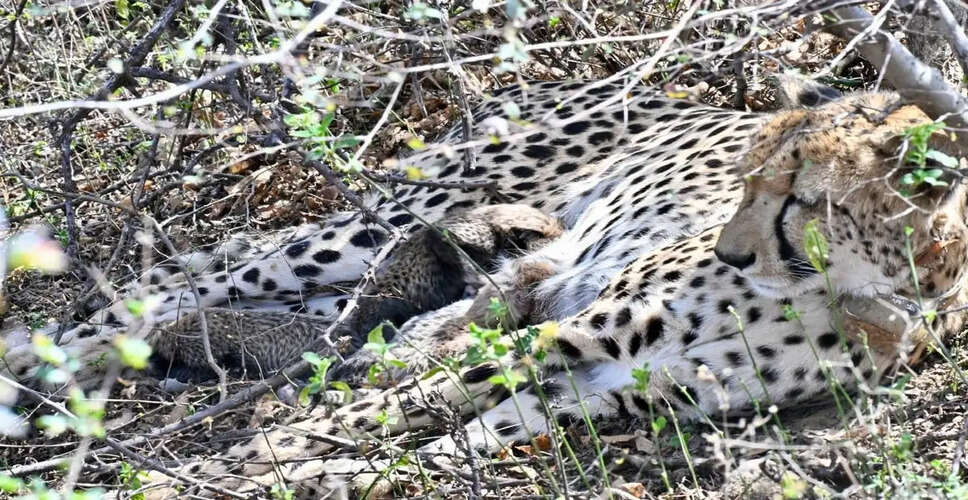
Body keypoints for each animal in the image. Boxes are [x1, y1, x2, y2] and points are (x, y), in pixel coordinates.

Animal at [8, 77, 968, 498]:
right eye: (742, 182)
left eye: (798, 196)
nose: (733, 254)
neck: (859, 290)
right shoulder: (570, 333)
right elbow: (375, 413)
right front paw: (241, 465)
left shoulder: (613, 386)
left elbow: (438, 438)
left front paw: (322, 476)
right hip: (388, 218)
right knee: (190, 275)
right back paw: (42, 364)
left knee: (309, 323)